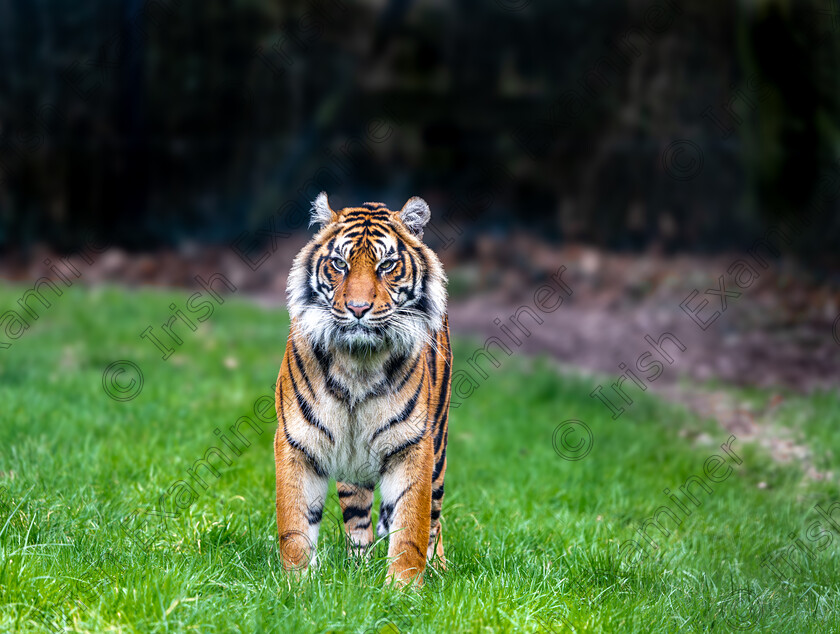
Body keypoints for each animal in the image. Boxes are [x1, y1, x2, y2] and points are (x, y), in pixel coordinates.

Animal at [276, 190, 452, 584]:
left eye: (386, 266)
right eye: (339, 264)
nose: (358, 309)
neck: (358, 364)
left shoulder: (411, 446)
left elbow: (410, 526)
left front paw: (403, 587)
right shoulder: (298, 441)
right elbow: (294, 524)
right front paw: (297, 584)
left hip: (438, 451)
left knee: (433, 519)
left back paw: (438, 568)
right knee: (358, 520)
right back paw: (358, 570)